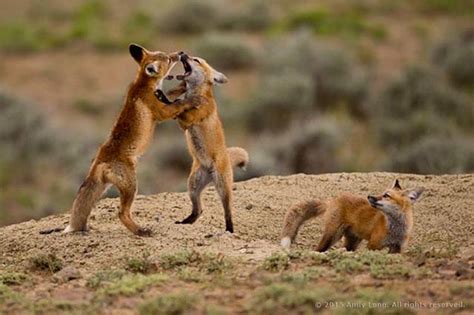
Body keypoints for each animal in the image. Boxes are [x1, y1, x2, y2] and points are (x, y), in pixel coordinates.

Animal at [63, 44, 196, 237]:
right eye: (168, 59)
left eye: (165, 54)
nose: (180, 53)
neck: (143, 84)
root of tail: (99, 160)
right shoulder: (161, 112)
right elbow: (178, 104)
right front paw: (191, 99)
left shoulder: (164, 99)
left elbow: (173, 93)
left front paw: (183, 86)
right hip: (131, 186)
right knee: (122, 213)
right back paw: (141, 231)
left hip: (105, 188)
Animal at [156, 53, 252, 233]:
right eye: (191, 57)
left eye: (196, 60)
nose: (182, 53)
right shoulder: (182, 123)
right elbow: (174, 101)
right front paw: (168, 93)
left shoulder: (188, 120)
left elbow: (177, 105)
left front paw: (168, 97)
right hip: (193, 186)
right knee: (199, 210)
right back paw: (186, 222)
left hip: (222, 188)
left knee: (227, 211)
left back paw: (229, 230)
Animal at [280, 180, 424, 254]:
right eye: (382, 193)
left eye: (386, 195)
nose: (369, 196)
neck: (396, 230)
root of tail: (333, 199)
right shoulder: (373, 245)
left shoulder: (398, 248)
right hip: (332, 235)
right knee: (318, 249)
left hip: (352, 242)